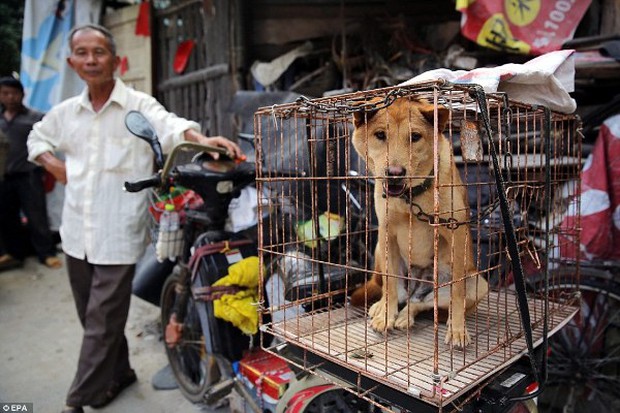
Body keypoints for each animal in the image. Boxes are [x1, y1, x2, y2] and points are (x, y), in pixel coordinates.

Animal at [348, 97, 490, 348]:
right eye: (380, 135)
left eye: (415, 136)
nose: (394, 173)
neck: (410, 198)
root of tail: (416, 287)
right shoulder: (386, 232)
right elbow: (390, 284)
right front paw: (386, 315)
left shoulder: (456, 232)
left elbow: (457, 292)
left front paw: (457, 329)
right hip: (379, 250)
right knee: (396, 293)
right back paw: (383, 309)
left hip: (478, 283)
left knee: (421, 304)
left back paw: (409, 317)